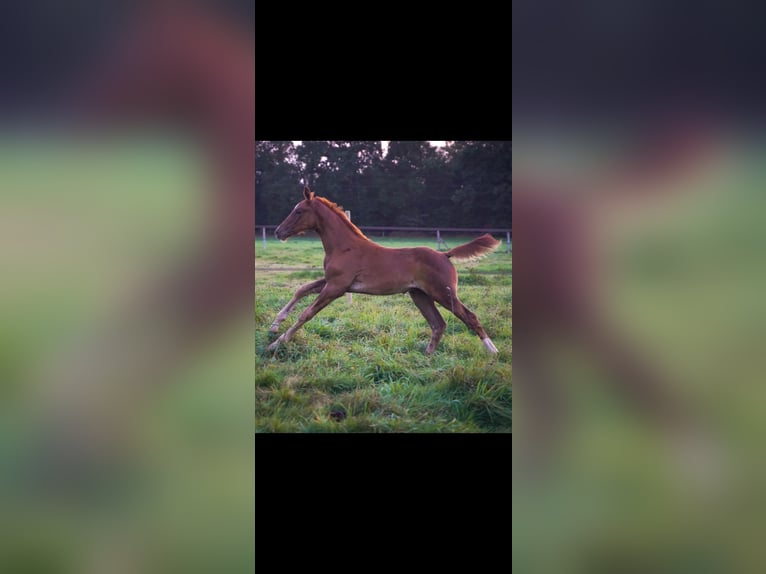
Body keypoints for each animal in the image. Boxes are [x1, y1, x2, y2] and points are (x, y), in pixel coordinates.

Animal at [268, 188, 504, 356]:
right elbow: (302, 289)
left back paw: (493, 351)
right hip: (420, 295)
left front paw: (277, 343)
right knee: (438, 324)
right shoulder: (333, 282)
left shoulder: (336, 287)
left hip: (443, 293)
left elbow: (307, 313)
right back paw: (427, 356)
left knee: (469, 316)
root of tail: (445, 255)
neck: (344, 247)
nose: (278, 231)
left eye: (299, 211)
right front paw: (274, 325)